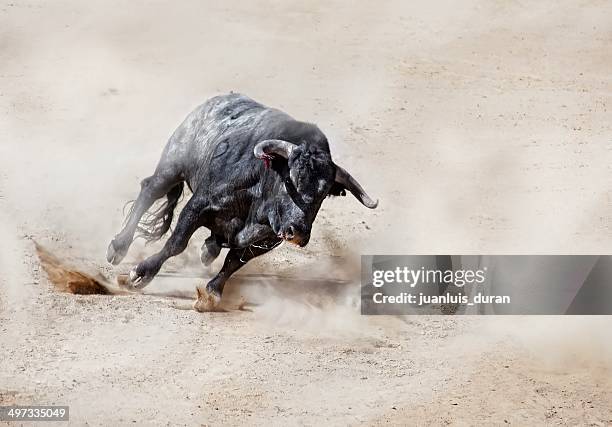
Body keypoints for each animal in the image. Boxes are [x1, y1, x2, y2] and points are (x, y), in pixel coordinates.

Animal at [106, 93, 378, 312]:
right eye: (290, 179)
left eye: (323, 193)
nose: (298, 232)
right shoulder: (199, 205)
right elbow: (177, 243)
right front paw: (140, 274)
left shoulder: (266, 240)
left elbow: (234, 262)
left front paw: (211, 295)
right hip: (172, 165)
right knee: (149, 191)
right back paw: (118, 247)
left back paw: (209, 249)